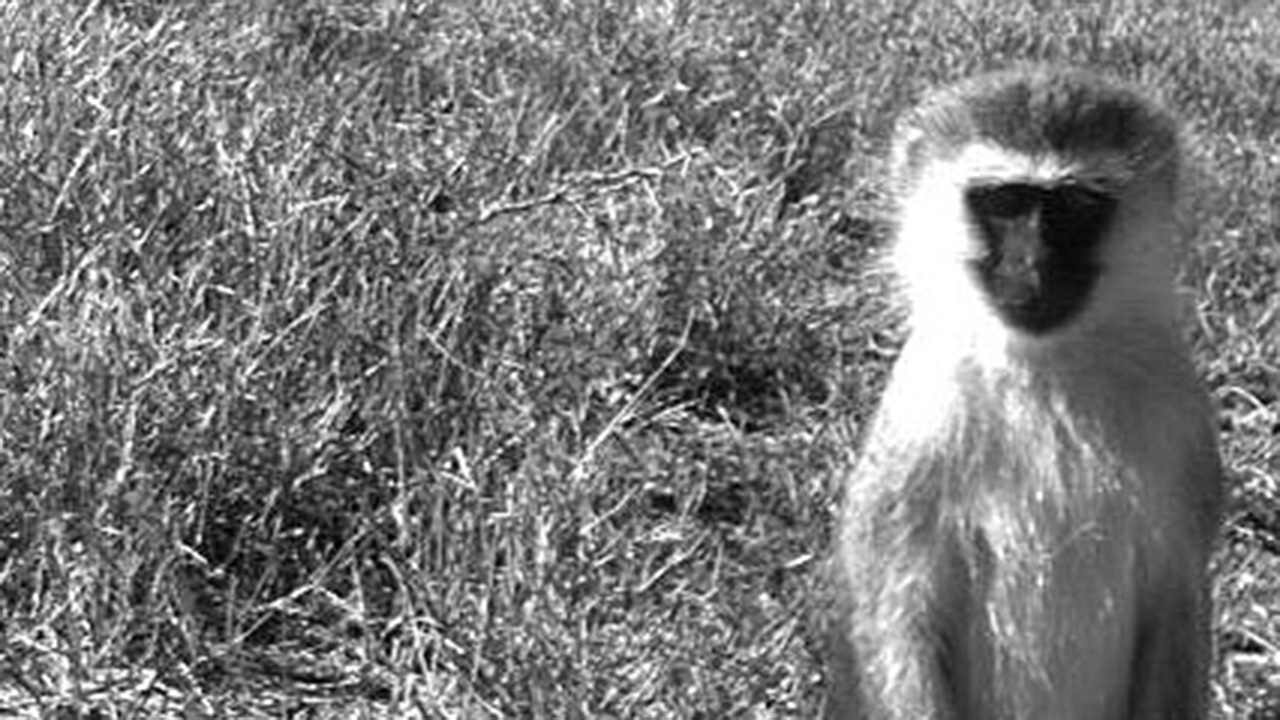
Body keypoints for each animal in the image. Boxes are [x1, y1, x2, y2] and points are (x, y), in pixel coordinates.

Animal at [826, 67, 1224, 720]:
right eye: (1005, 202)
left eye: (1077, 206)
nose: (1033, 267)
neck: (1047, 364)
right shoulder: (922, 416)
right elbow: (896, 610)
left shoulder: (1180, 413)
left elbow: (1177, 600)